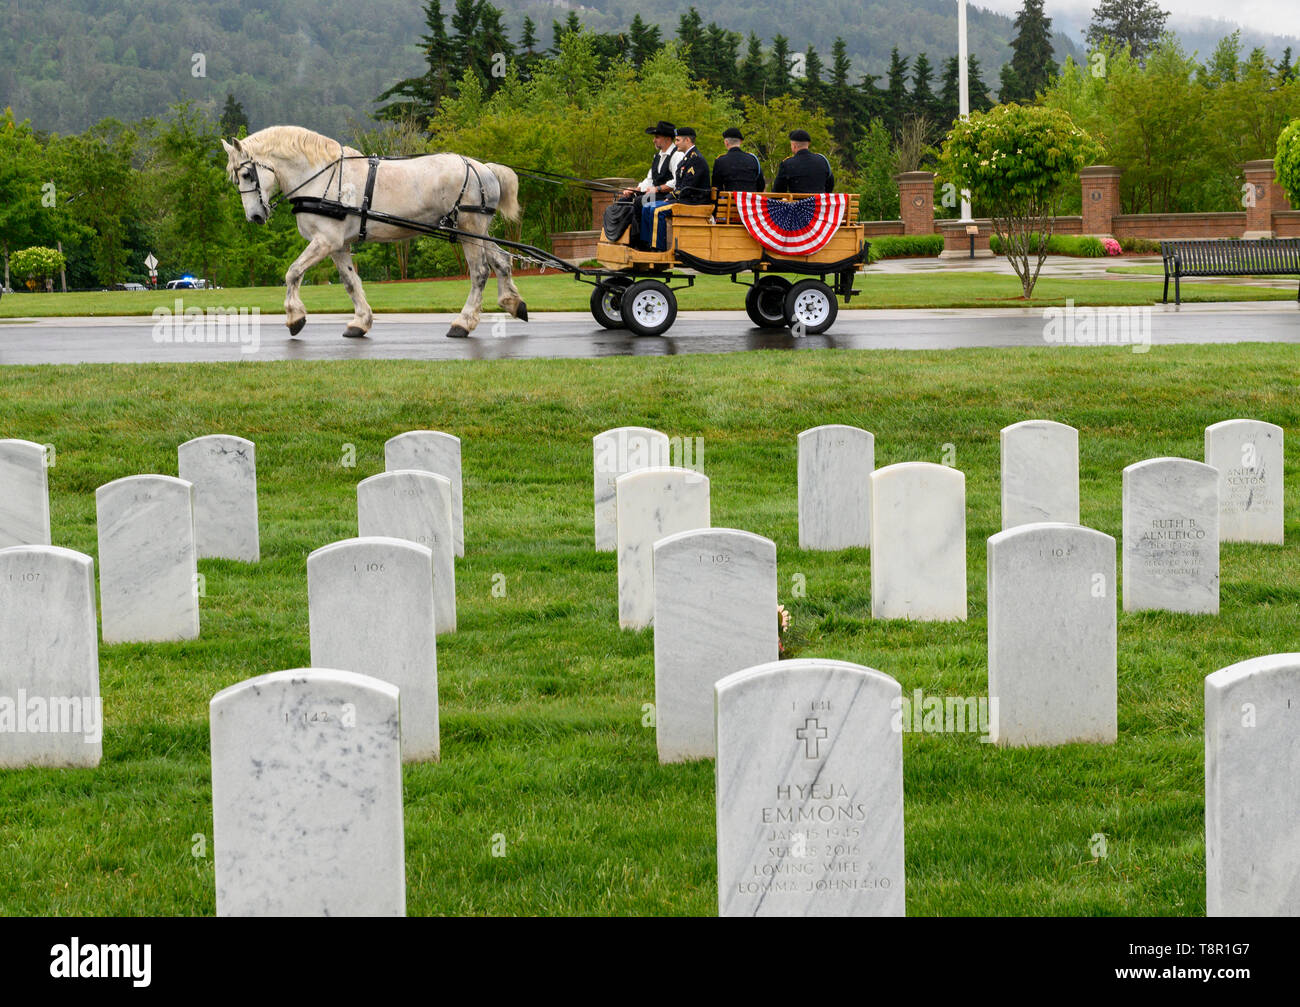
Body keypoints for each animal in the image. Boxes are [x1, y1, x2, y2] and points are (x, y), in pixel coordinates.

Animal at [220, 124, 525, 337]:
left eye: (246, 174)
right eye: (236, 178)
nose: (254, 216)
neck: (320, 177)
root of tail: (482, 167)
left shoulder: (325, 241)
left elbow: (293, 272)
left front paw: (295, 318)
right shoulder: (339, 245)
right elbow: (350, 282)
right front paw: (360, 322)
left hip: (468, 229)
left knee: (480, 272)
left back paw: (463, 322)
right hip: (477, 231)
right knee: (502, 261)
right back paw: (513, 303)